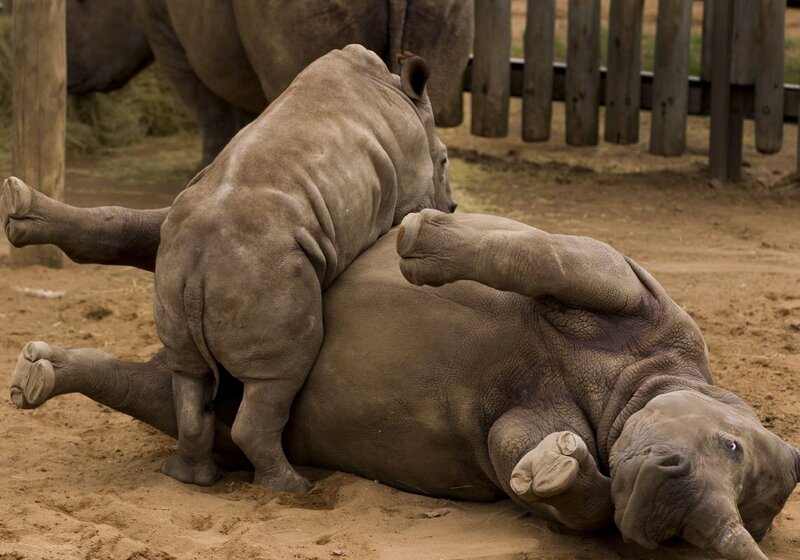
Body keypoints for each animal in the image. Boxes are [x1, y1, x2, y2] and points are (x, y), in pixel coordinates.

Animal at [3, 174, 798, 559]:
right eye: (730, 445)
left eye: (683, 540)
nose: (668, 499)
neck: (629, 391)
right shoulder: (633, 290)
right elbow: (552, 260)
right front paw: (422, 240)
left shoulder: (526, 423)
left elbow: (559, 479)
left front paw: (556, 467)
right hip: (251, 233)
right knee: (169, 226)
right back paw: (24, 214)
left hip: (223, 383)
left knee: (190, 400)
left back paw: (39, 373)